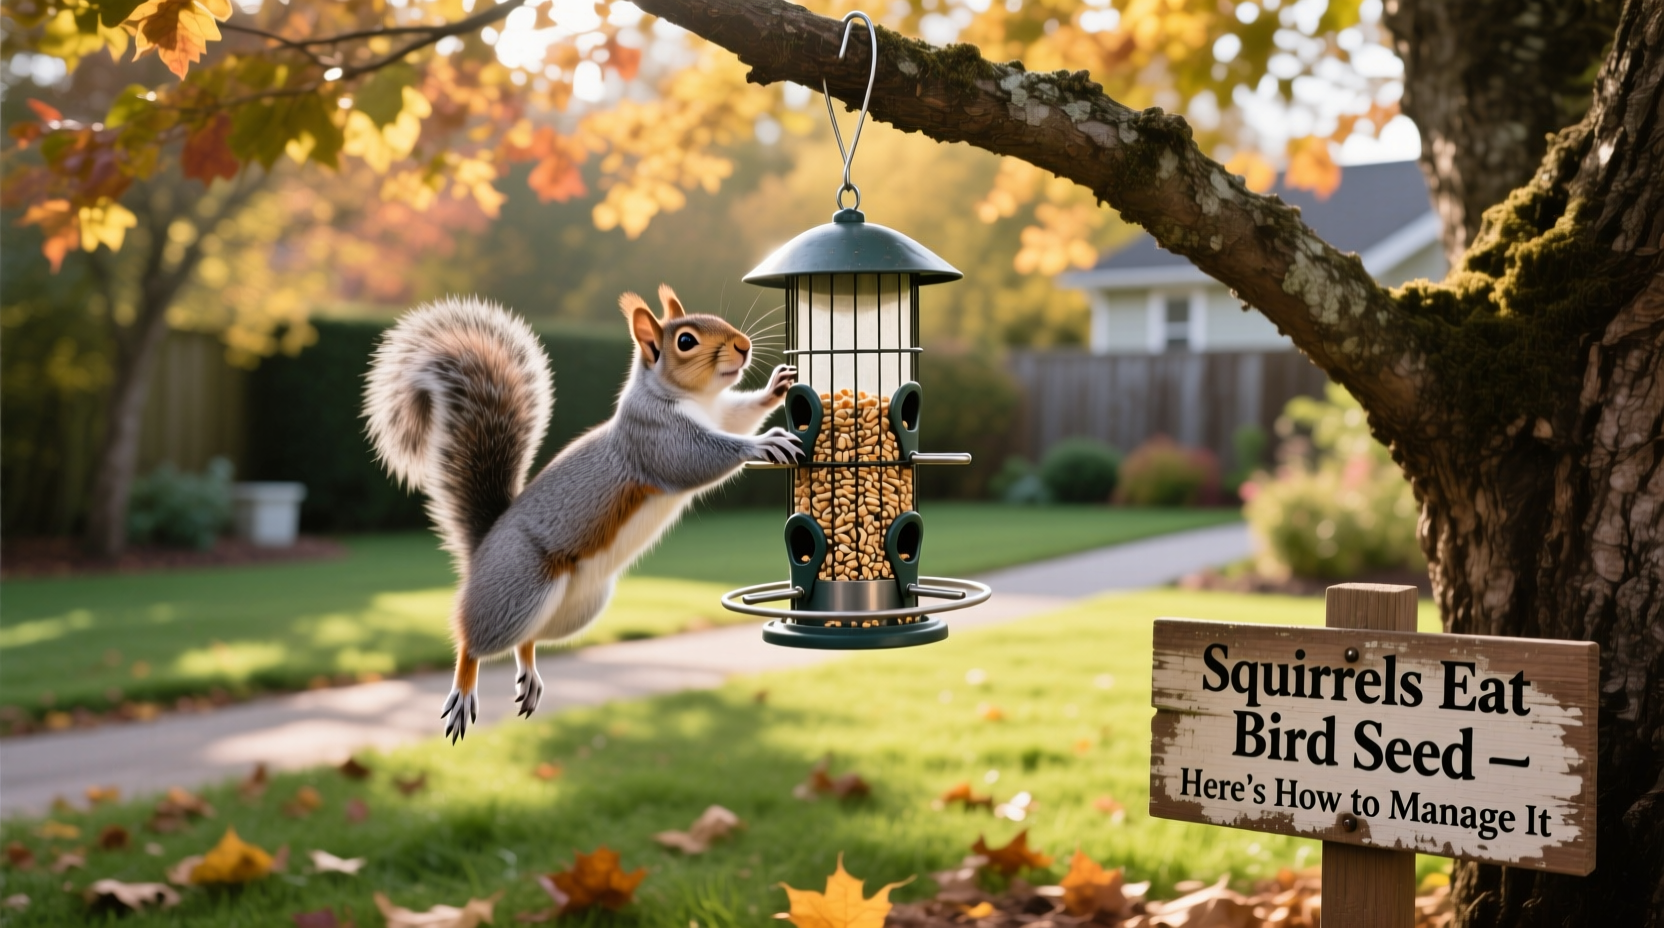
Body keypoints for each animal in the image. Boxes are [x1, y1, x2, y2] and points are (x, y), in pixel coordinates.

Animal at [364, 285, 800, 741]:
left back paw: (529, 675)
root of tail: (482, 549)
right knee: (475, 640)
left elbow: (740, 414)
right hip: (520, 586)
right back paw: (464, 690)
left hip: (576, 607)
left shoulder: (721, 413)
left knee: (528, 637)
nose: (744, 345)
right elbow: (698, 457)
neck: (696, 400)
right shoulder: (655, 438)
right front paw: (762, 444)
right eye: (685, 341)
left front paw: (774, 388)